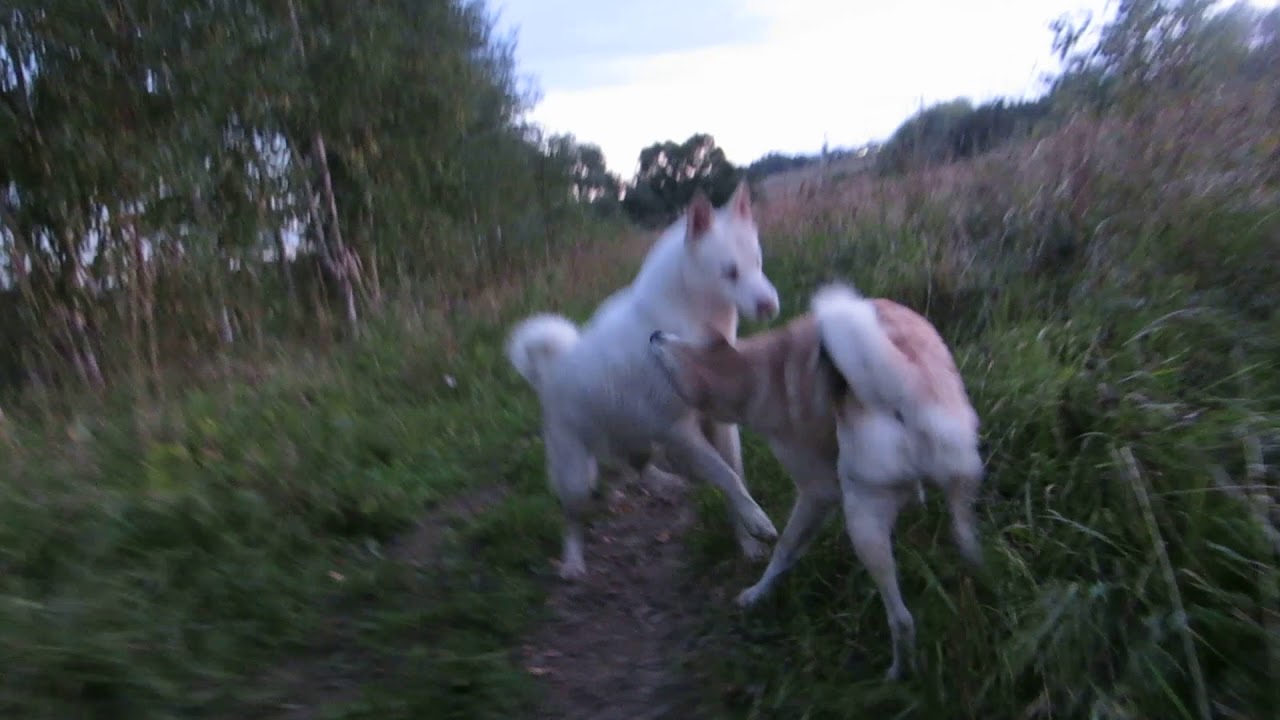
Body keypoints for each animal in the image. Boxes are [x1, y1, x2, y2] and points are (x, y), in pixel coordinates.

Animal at [504, 183, 783, 576]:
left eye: (757, 263)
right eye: (730, 272)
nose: (770, 306)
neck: (686, 320)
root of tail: (548, 373)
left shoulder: (718, 424)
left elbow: (735, 478)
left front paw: (748, 542)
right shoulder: (679, 431)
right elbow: (726, 476)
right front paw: (757, 523)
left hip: (636, 436)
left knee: (636, 467)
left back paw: (667, 482)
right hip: (576, 474)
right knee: (572, 516)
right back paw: (572, 561)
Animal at [645, 281, 983, 676]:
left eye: (673, 357)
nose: (654, 334)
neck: (758, 372)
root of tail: (903, 388)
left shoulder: (816, 493)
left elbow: (784, 549)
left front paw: (757, 593)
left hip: (862, 522)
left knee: (902, 620)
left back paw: (898, 673)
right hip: (954, 485)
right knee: (965, 539)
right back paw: (976, 574)